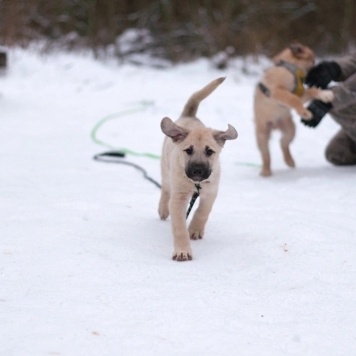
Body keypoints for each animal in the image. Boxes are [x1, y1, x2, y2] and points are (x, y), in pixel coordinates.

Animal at [158, 77, 236, 262]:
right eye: (188, 150)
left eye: (209, 151)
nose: (198, 171)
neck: (196, 184)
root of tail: (189, 115)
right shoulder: (178, 198)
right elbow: (179, 227)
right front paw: (182, 251)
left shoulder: (211, 192)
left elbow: (202, 211)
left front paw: (194, 229)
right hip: (165, 169)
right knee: (165, 188)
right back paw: (163, 208)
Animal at [253, 42, 334, 176]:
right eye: (313, 61)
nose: (319, 72)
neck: (290, 68)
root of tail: (275, 125)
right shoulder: (278, 92)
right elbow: (293, 99)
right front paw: (305, 112)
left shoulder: (300, 94)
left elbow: (311, 91)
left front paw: (325, 94)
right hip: (262, 136)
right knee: (266, 154)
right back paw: (266, 171)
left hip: (290, 130)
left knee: (283, 143)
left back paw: (289, 160)